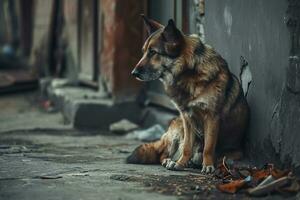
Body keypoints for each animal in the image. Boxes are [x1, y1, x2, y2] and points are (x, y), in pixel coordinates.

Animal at [126, 16, 248, 173]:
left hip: (235, 152)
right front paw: (180, 163)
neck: (189, 72)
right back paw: (170, 160)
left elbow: (208, 146)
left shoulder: (211, 117)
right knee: (162, 154)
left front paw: (207, 165)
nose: (133, 73)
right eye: (144, 52)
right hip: (178, 128)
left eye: (153, 52)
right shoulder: (187, 118)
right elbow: (186, 147)